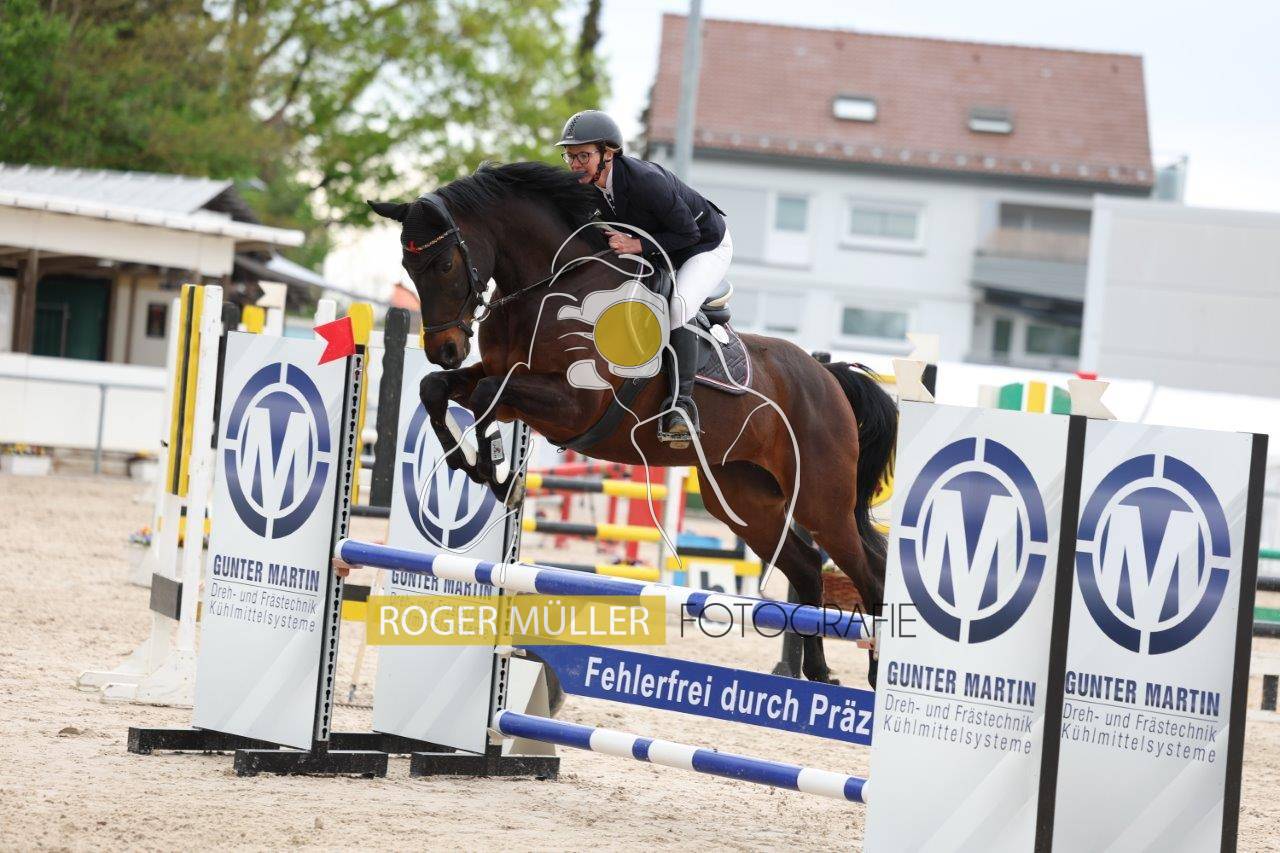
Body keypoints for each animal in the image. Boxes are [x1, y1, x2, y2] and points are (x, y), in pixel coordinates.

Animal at [369, 161, 897, 685]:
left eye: (444, 264)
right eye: (408, 269)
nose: (444, 349)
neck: (550, 286)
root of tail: (827, 376)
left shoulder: (573, 403)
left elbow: (483, 399)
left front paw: (499, 475)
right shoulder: (504, 376)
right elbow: (437, 390)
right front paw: (473, 465)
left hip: (820, 500)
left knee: (870, 573)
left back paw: (874, 676)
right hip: (743, 499)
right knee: (807, 567)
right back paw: (818, 673)